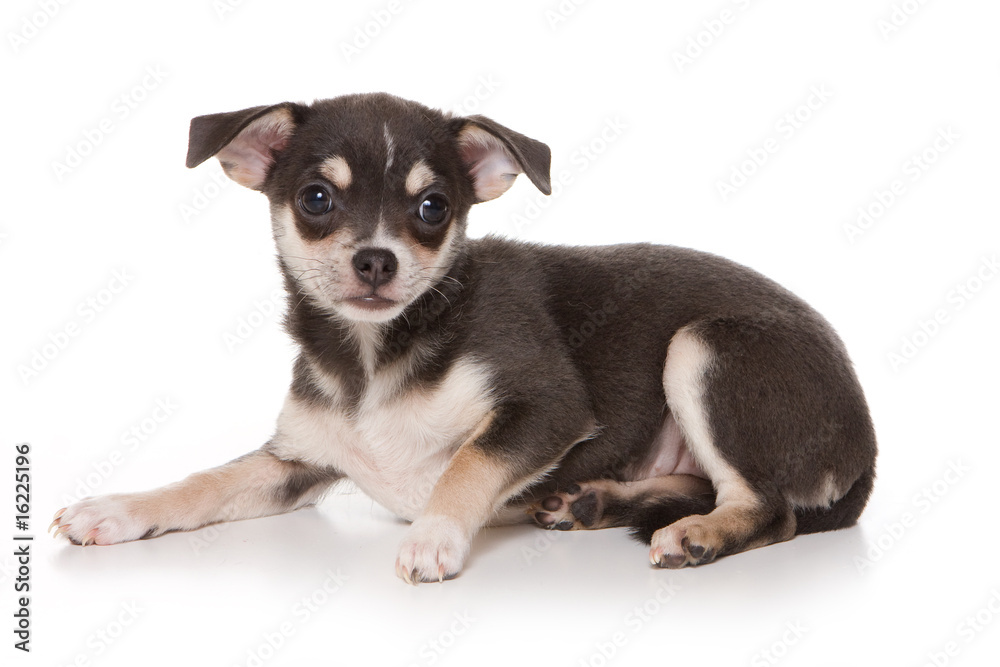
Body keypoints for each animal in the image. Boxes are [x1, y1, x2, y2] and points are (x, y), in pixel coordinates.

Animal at [52, 92, 876, 584]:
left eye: (432, 207)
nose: (375, 259)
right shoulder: (296, 459)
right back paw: (596, 502)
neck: (374, 354)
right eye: (316, 198)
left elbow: (469, 461)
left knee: (770, 508)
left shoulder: (545, 408)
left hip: (701, 347)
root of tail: (867, 449)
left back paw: (696, 533)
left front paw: (433, 535)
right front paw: (116, 509)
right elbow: (205, 483)